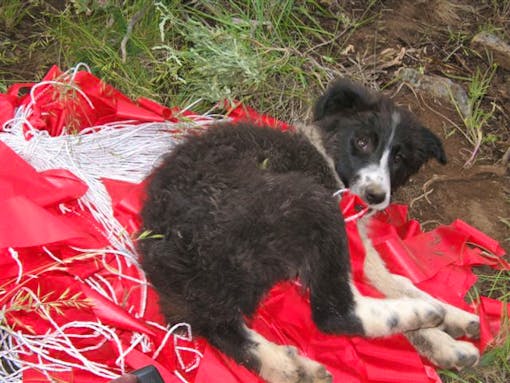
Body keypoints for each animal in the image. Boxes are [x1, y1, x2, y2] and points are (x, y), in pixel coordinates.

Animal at [137, 79, 480, 382]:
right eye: (362, 142)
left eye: (399, 158)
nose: (376, 196)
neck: (327, 155)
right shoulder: (346, 228)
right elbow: (389, 280)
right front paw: (442, 333)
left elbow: (395, 279)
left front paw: (454, 324)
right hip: (309, 200)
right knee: (335, 313)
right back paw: (420, 313)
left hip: (209, 290)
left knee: (218, 324)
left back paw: (289, 366)